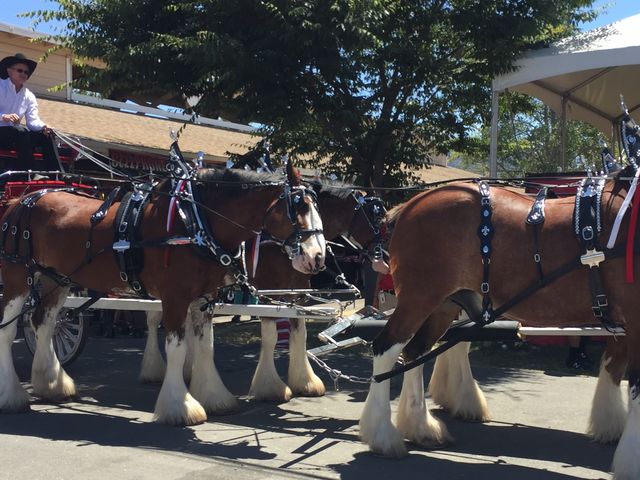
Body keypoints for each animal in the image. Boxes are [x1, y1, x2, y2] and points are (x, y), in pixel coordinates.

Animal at [0, 152, 324, 426]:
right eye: (298, 207)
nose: (318, 258)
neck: (193, 221)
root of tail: (21, 201)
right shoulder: (175, 298)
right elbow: (177, 350)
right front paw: (180, 407)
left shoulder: (204, 299)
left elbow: (205, 345)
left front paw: (214, 397)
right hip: (16, 278)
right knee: (9, 329)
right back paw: (12, 396)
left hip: (55, 280)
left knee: (43, 323)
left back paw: (52, 385)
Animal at [358, 167, 640, 478]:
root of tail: (411, 204)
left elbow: (615, 368)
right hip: (418, 299)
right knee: (386, 349)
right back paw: (383, 436)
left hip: (443, 305)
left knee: (415, 353)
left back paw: (422, 428)